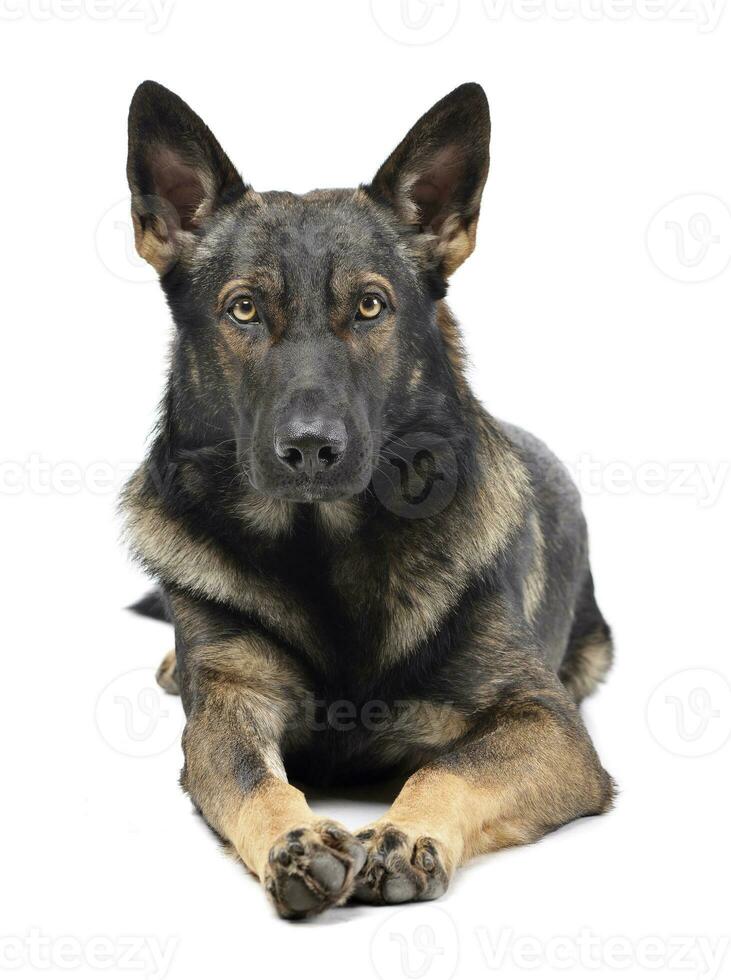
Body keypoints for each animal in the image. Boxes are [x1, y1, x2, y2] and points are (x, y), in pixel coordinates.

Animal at [123, 80, 616, 916]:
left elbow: (448, 766)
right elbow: (253, 782)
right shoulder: (224, 716)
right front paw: (294, 840)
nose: (309, 448)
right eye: (244, 309)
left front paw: (406, 833)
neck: (327, 547)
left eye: (370, 307)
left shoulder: (544, 720)